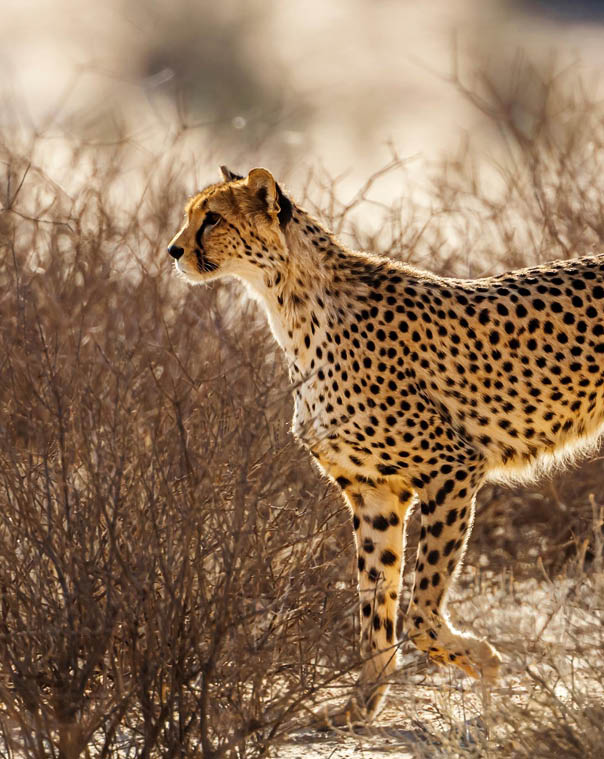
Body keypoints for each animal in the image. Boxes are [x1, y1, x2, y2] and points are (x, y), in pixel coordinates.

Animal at [168, 165, 604, 724]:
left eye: (213, 219)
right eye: (191, 216)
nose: (173, 250)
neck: (294, 305)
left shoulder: (452, 468)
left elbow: (419, 613)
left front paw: (482, 660)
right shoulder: (373, 493)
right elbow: (374, 604)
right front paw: (361, 702)